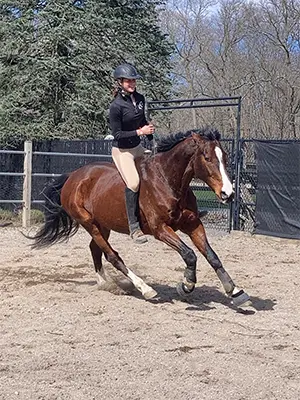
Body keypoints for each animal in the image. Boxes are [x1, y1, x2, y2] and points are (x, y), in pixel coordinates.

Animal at [31, 128, 250, 306]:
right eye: (207, 157)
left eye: (225, 157)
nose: (228, 193)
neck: (168, 180)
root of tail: (74, 176)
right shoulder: (160, 229)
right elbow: (189, 254)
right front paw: (186, 284)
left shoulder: (193, 224)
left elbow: (212, 256)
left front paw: (235, 291)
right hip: (89, 223)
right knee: (112, 255)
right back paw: (145, 289)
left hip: (103, 225)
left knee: (95, 249)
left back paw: (106, 283)